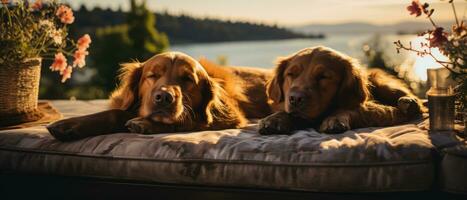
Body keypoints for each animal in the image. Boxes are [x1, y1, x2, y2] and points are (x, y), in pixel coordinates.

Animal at [48, 52, 272, 141]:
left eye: (187, 79)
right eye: (152, 75)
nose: (164, 97)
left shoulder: (230, 116)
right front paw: (70, 125)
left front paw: (145, 124)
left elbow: (189, 120)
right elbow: (115, 113)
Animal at [258, 46, 426, 135]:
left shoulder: (375, 109)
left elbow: (346, 110)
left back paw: (408, 102)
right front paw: (274, 119)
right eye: (291, 74)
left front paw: (335, 119)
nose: (295, 98)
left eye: (323, 76)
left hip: (382, 83)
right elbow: (286, 113)